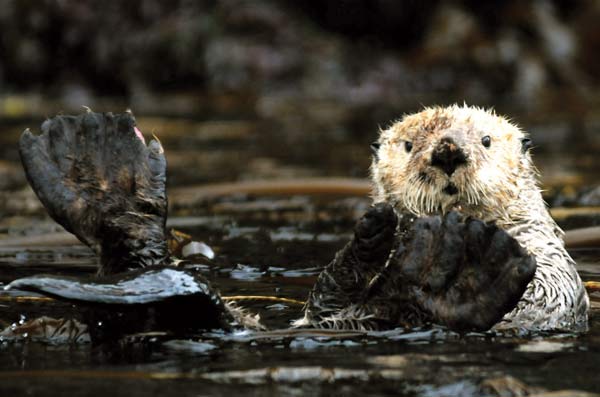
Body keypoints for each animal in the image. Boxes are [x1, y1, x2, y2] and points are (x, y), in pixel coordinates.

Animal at [4, 104, 584, 338]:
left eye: (484, 139)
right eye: (408, 144)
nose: (447, 152)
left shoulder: (547, 263)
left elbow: (542, 289)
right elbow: (325, 294)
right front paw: (377, 232)